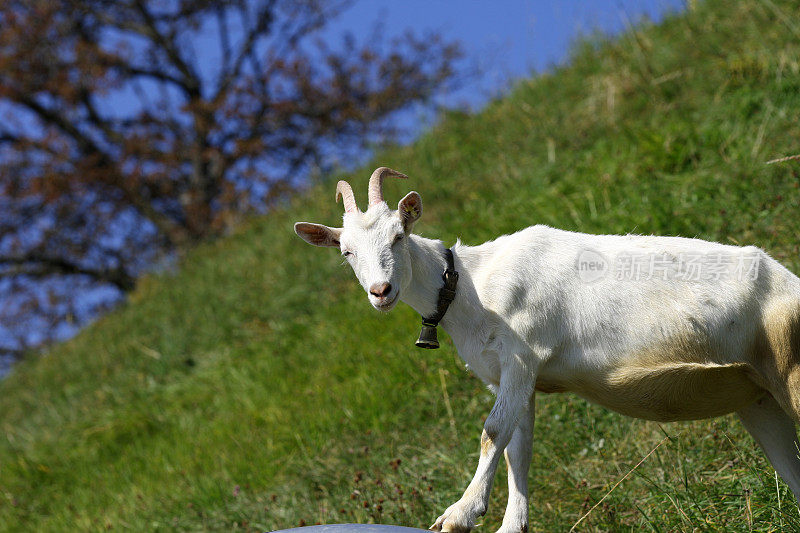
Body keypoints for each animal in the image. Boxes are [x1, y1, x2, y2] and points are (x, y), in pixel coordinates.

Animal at [294, 167, 800, 532]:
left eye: (398, 234)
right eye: (346, 251)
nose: (380, 291)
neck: (472, 284)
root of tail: (786, 281)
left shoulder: (521, 357)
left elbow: (492, 432)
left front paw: (458, 514)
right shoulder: (514, 378)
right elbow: (517, 448)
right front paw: (507, 524)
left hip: (790, 368)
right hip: (756, 396)